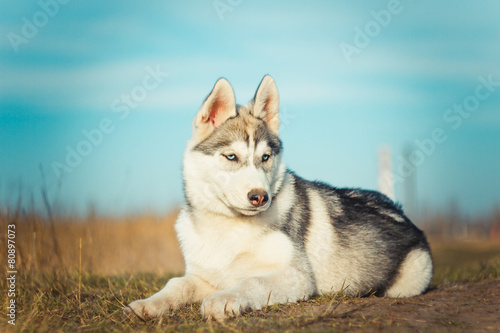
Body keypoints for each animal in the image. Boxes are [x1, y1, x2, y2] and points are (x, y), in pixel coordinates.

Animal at [123, 74, 432, 320]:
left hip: (411, 277)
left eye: (265, 157)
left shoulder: (297, 276)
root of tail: (400, 211)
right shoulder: (204, 275)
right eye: (231, 157)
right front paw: (147, 305)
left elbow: (251, 282)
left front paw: (224, 300)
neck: (228, 227)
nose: (260, 197)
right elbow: (177, 284)